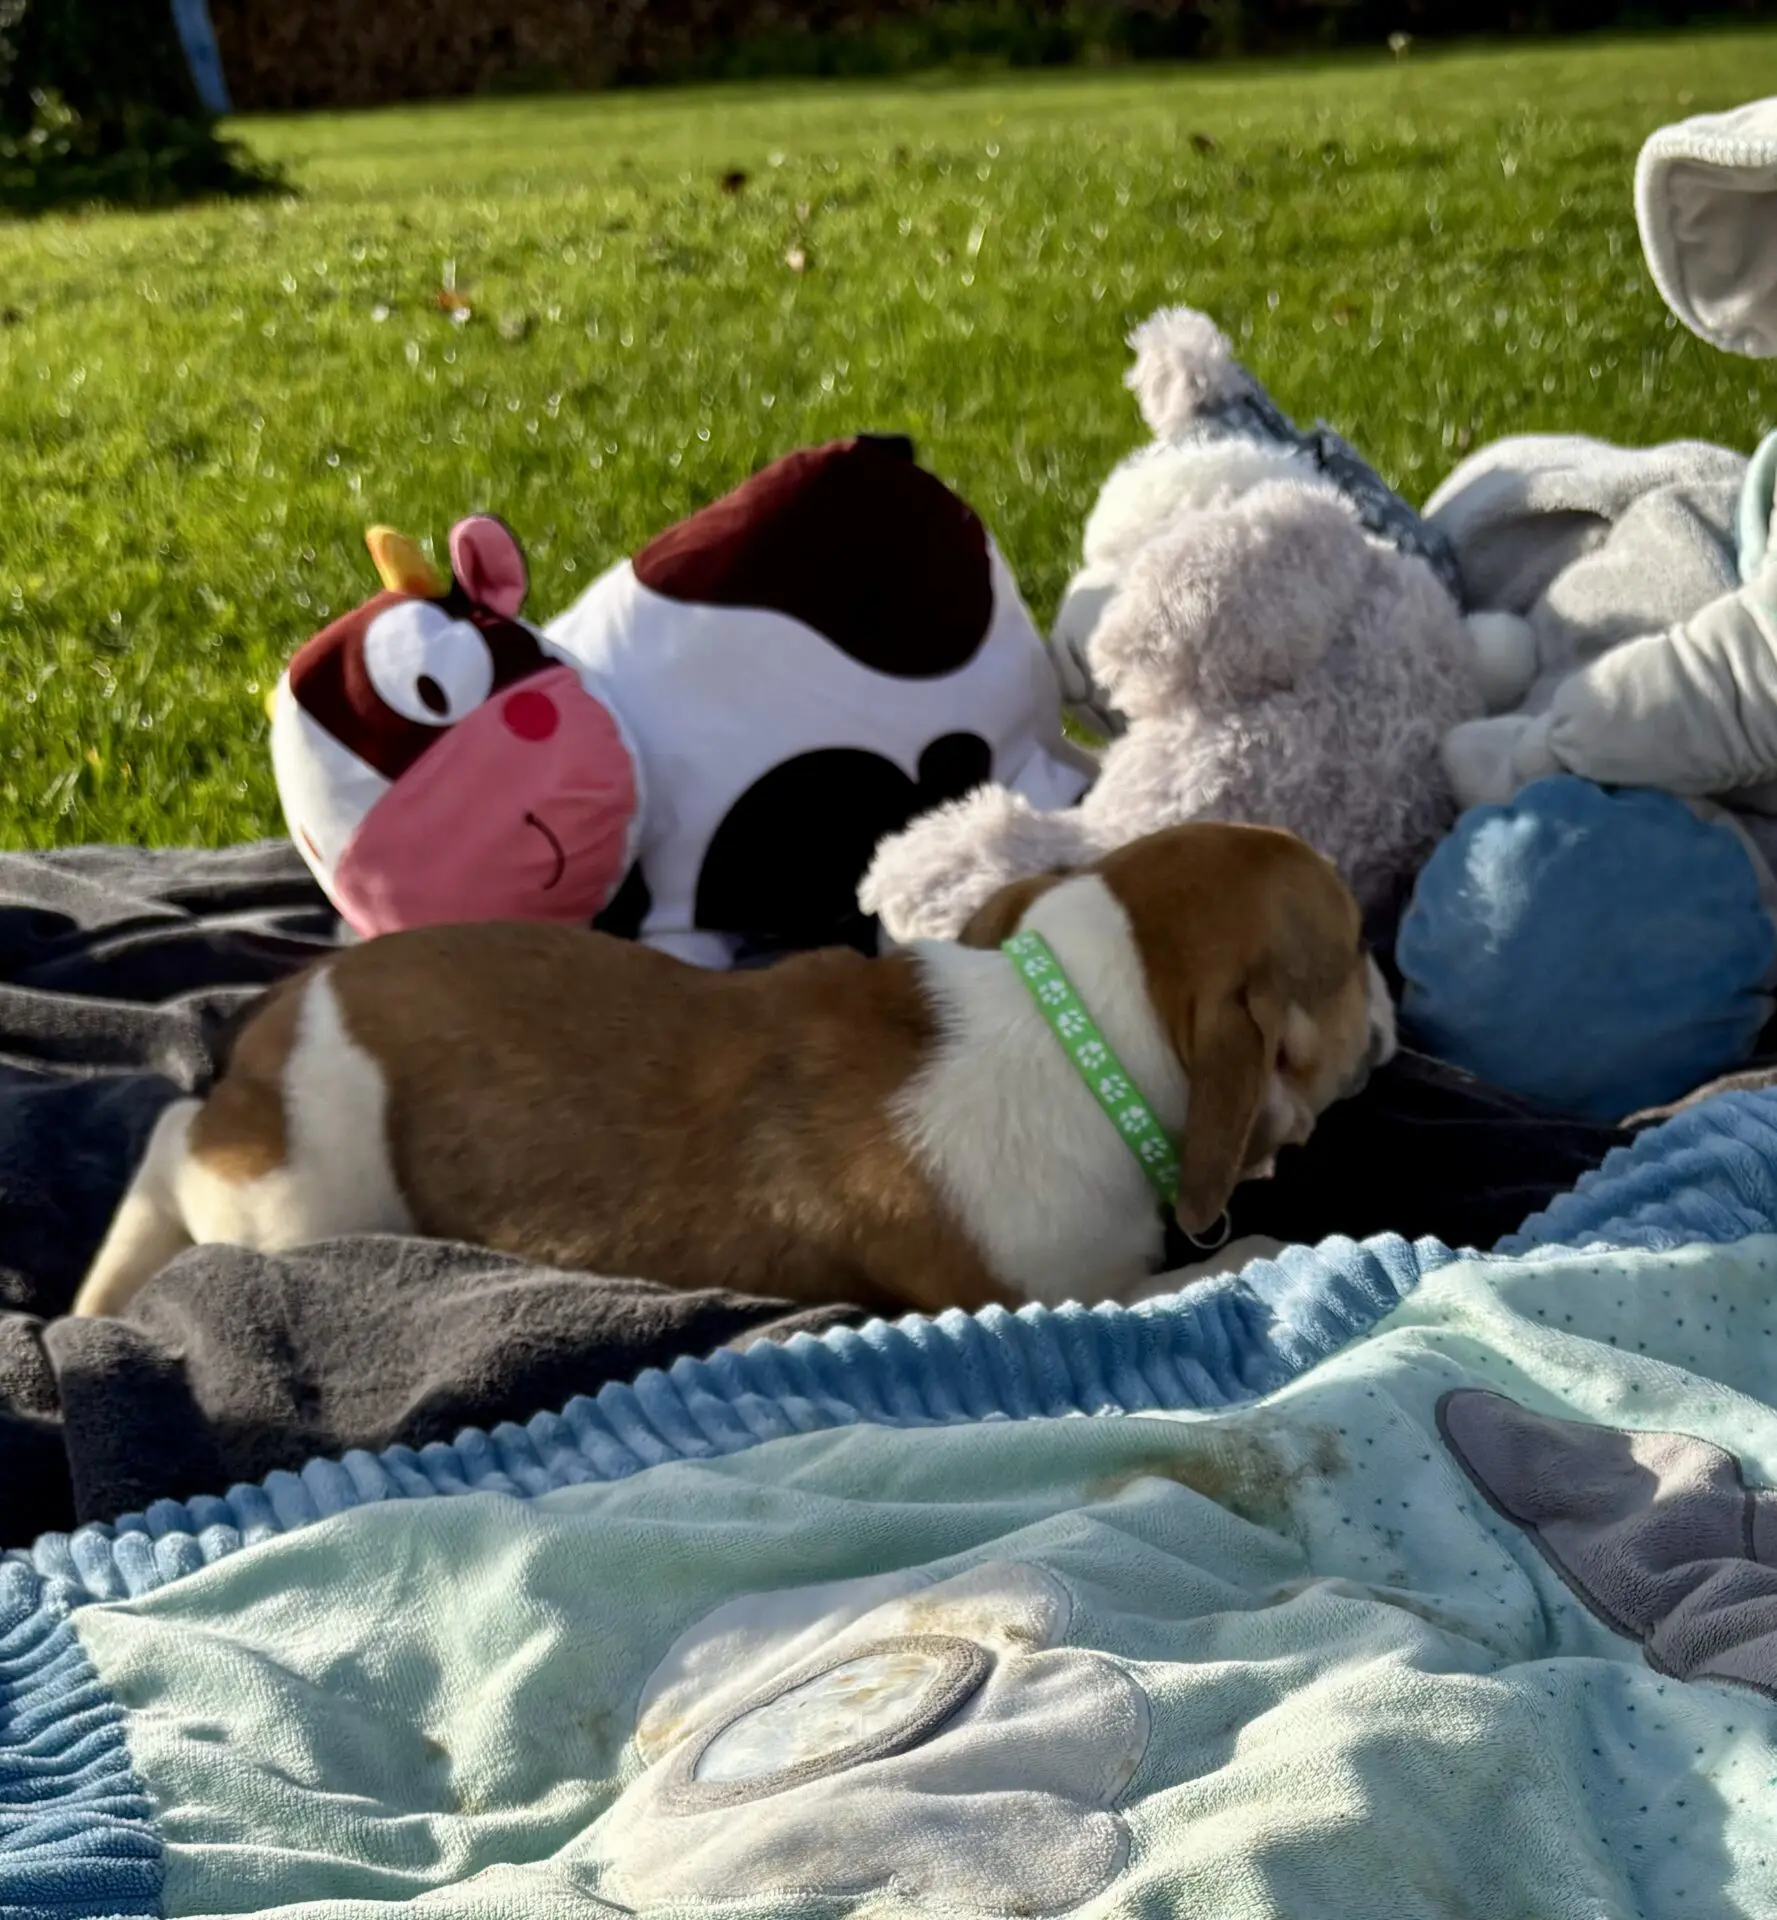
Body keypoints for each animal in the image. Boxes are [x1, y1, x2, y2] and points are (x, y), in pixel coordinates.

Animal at [71, 822, 1394, 1321]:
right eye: (1351, 950)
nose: (1392, 999)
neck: (1075, 1014)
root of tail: (283, 1014)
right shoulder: (1056, 1289)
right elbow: (1219, 1257)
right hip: (307, 1202)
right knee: (174, 1148)